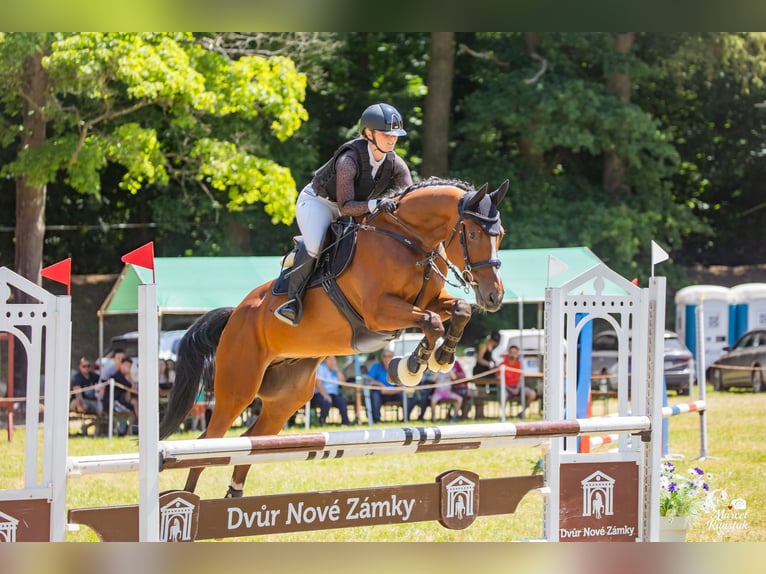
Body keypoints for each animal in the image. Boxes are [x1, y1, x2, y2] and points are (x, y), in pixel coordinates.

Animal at [159, 177, 509, 497]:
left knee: (253, 440)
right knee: (208, 443)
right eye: (473, 234)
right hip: (237, 388)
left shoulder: (429, 301)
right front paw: (410, 366)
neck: (408, 240)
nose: (494, 296)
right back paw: (188, 500)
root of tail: (235, 315)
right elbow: (432, 322)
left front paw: (441, 358)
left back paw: (234, 498)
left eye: (500, 235)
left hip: (286, 396)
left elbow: (459, 309)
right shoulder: (379, 312)